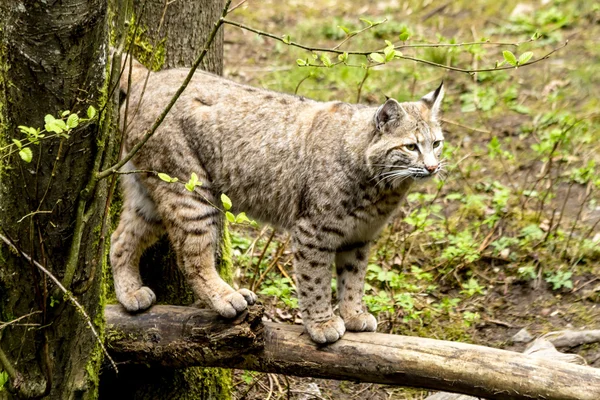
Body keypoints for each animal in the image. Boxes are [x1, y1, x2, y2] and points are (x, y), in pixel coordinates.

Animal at [110, 57, 442, 342]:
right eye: (411, 147)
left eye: (437, 144)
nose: (433, 167)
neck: (382, 186)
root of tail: (153, 76)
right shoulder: (313, 231)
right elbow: (315, 279)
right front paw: (321, 324)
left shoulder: (359, 235)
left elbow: (354, 279)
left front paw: (354, 314)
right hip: (190, 190)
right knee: (191, 257)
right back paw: (226, 297)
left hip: (151, 192)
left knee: (118, 239)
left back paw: (130, 293)